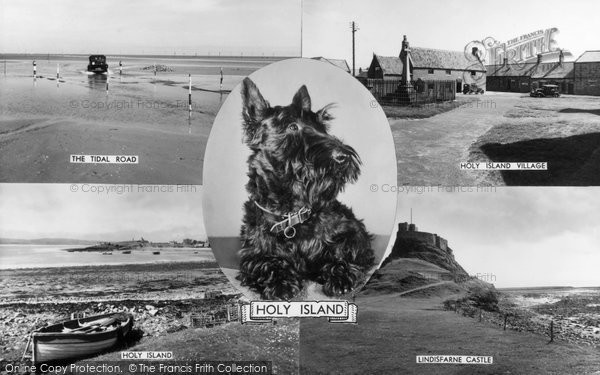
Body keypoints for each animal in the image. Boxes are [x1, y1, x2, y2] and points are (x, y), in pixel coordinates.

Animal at [236, 78, 372, 302]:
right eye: (293, 126)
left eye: (322, 127)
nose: (342, 157)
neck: (290, 213)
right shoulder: (253, 252)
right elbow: (267, 262)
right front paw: (281, 282)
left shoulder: (353, 233)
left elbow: (343, 250)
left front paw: (339, 275)